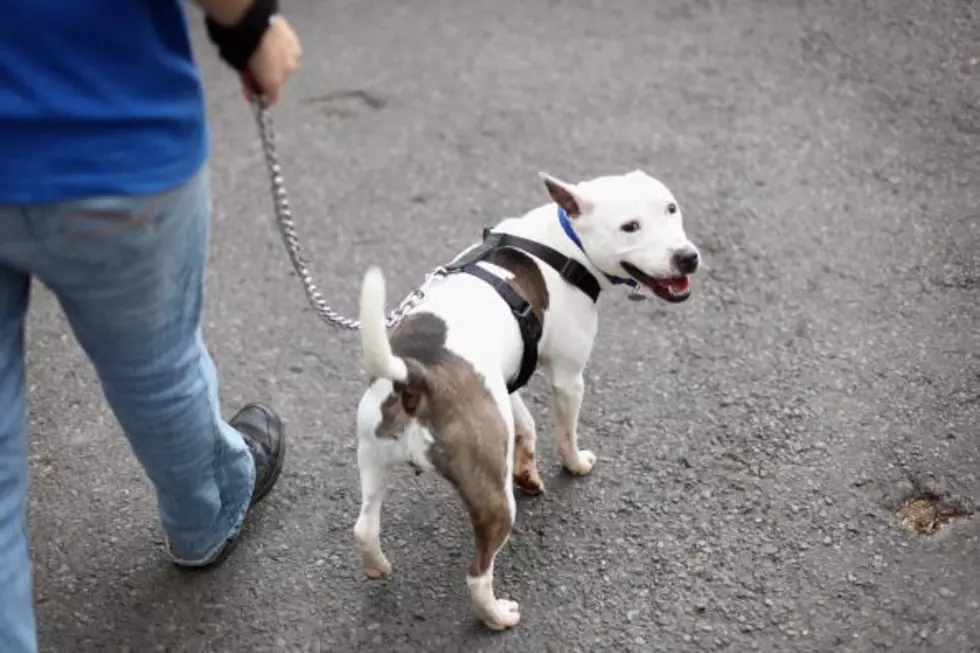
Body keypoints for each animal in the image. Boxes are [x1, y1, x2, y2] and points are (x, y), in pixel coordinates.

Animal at [350, 168, 696, 628]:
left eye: (671, 208)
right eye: (630, 226)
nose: (688, 257)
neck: (564, 242)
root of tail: (415, 374)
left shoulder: (505, 381)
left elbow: (525, 424)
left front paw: (528, 470)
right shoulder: (568, 379)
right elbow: (565, 434)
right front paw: (576, 465)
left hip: (373, 457)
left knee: (364, 527)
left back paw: (377, 566)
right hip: (493, 500)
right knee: (477, 574)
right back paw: (498, 615)